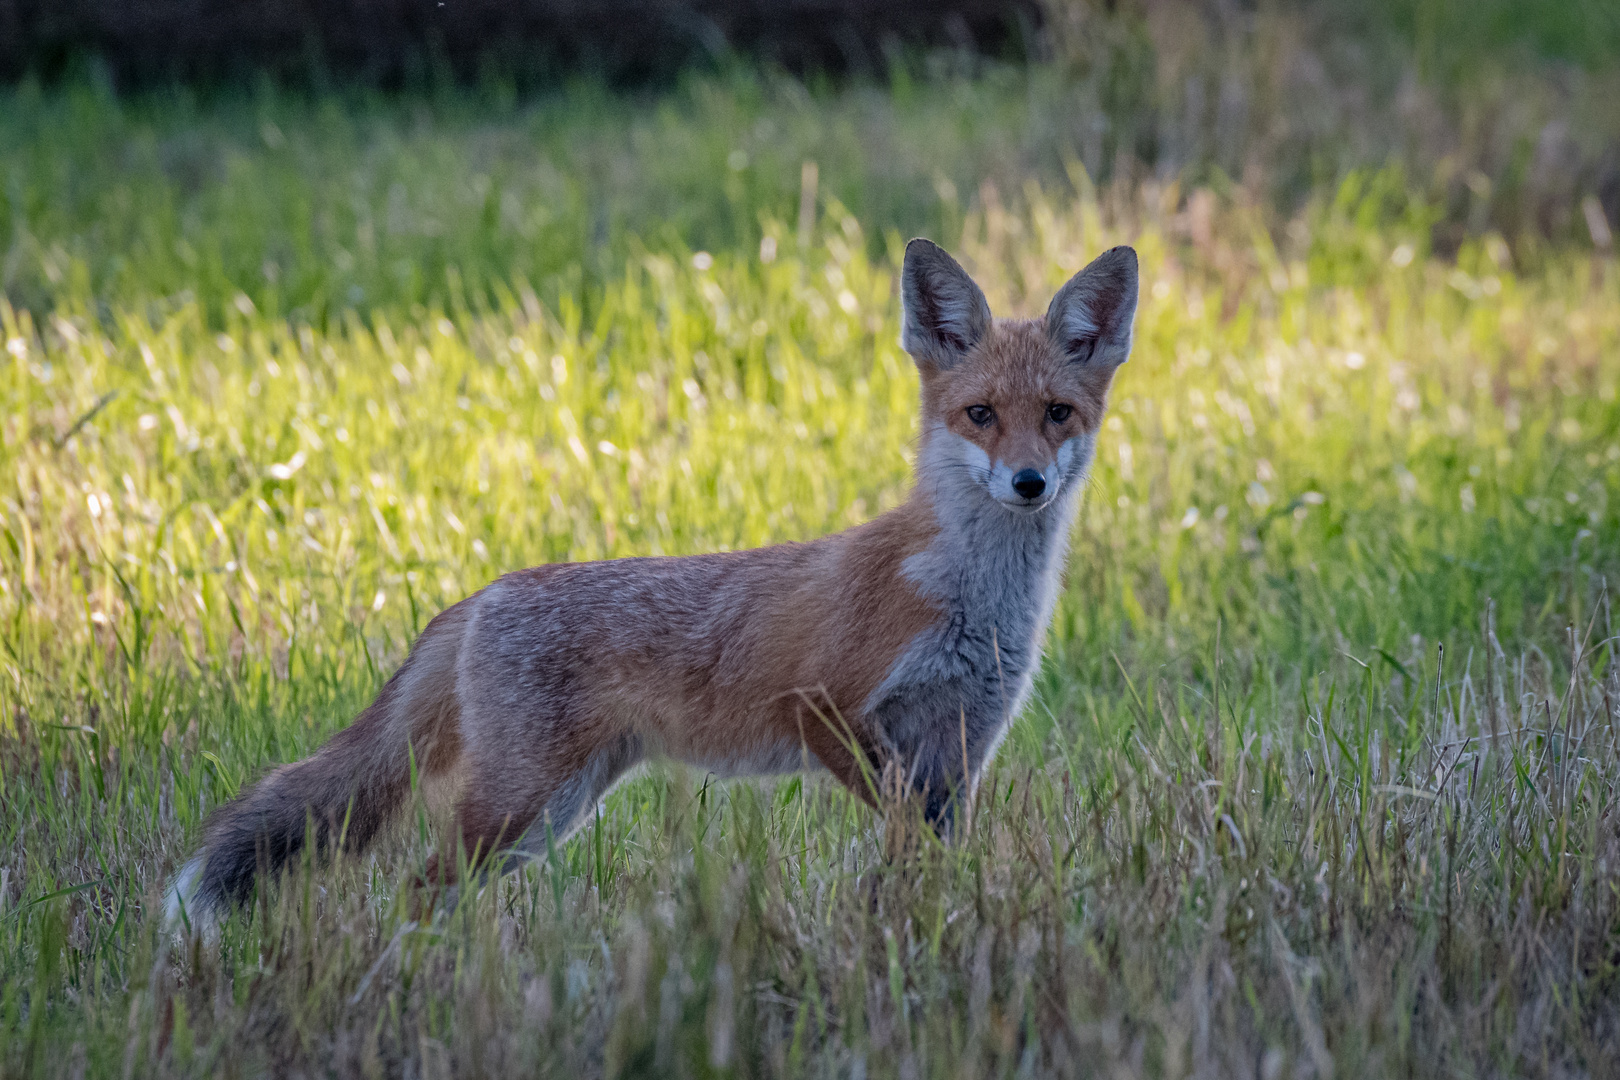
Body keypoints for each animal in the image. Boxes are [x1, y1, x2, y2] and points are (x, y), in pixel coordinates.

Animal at [161, 234, 1127, 919]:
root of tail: (479, 596)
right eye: (980, 414)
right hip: (519, 803)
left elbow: (923, 868)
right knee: (418, 889)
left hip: (550, 811)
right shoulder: (825, 707)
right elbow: (897, 834)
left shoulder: (958, 751)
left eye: (1056, 414)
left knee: (441, 892)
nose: (1029, 483)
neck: (967, 598)